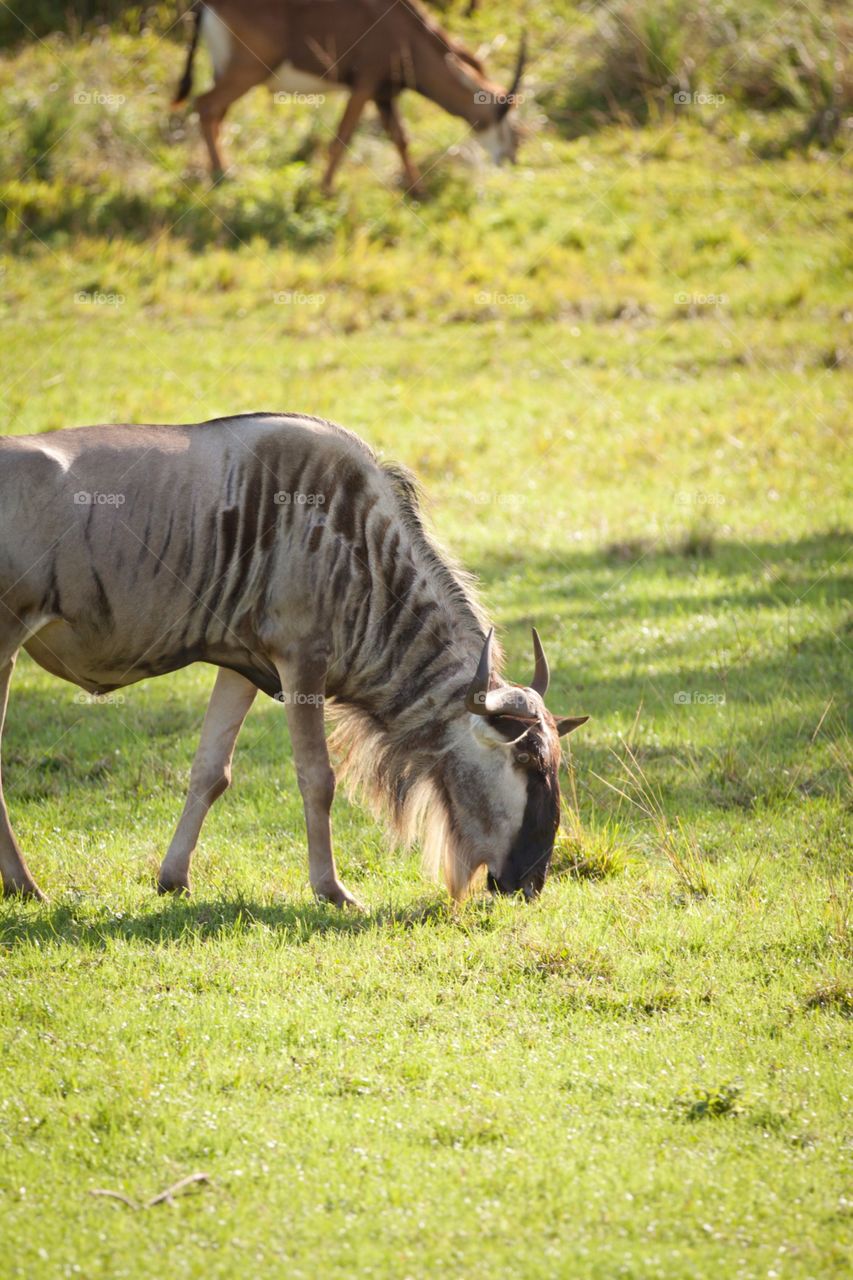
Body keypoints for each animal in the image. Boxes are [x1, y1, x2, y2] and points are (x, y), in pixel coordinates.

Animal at [0, 414, 587, 907]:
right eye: (527, 761)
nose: (532, 884)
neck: (357, 544)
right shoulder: (301, 662)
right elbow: (317, 778)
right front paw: (332, 891)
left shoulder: (240, 666)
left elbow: (210, 772)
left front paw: (173, 879)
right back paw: (26, 887)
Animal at [172, 1, 526, 193]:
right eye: (500, 113)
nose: (510, 158)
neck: (404, 29)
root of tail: (206, 6)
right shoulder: (365, 87)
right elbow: (341, 139)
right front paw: (325, 190)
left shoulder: (384, 95)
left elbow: (401, 139)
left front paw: (419, 191)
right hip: (247, 73)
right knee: (206, 106)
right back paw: (222, 176)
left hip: (226, 71)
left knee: (216, 114)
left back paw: (219, 171)